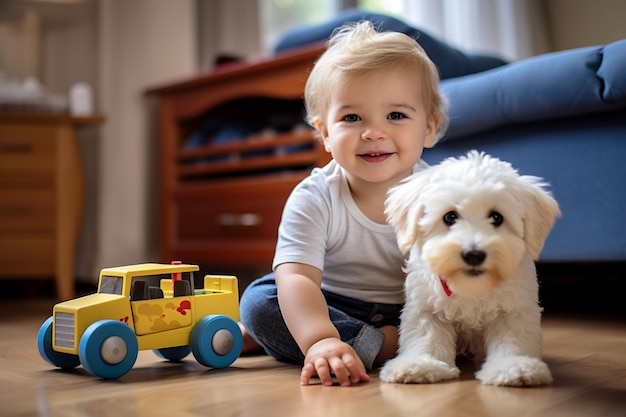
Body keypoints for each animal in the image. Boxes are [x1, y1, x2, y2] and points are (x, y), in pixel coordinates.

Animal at [380, 150, 560, 386]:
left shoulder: (513, 309)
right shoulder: (426, 308)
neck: (470, 286)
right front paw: (421, 364)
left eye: (496, 217)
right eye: (450, 216)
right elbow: (427, 337)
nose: (473, 254)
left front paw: (514, 366)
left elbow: (512, 339)